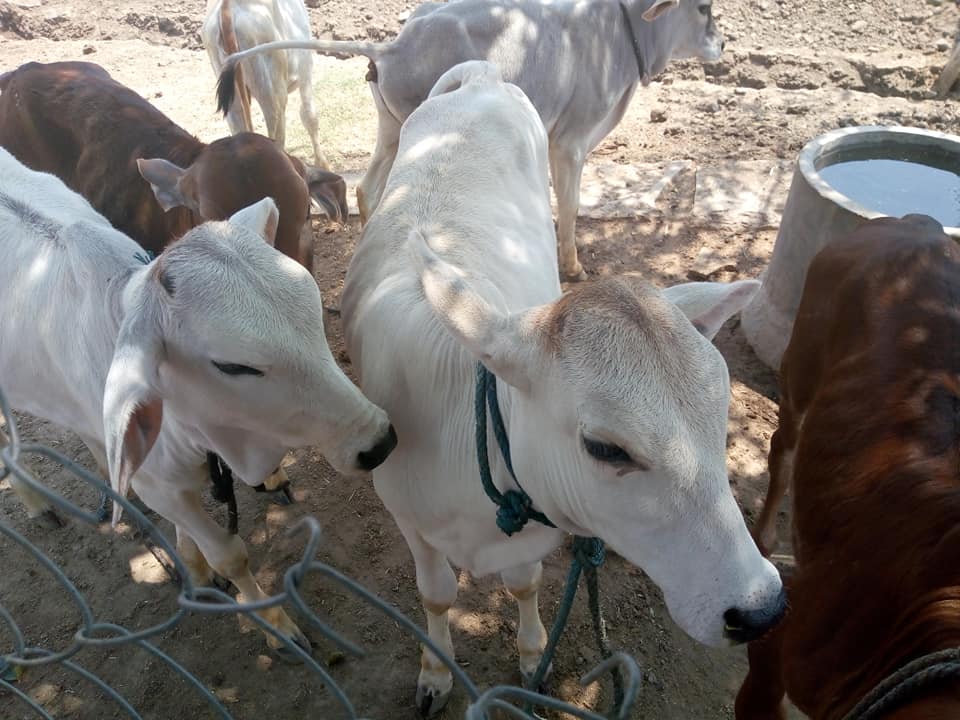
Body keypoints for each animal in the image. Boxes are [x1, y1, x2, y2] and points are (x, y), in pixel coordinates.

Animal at [0, 150, 398, 660]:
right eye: (233, 365)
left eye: (312, 307)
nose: (378, 441)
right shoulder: (161, 486)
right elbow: (230, 554)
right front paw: (275, 625)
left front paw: (192, 563)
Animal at [202, 0, 330, 169]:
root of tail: (227, 7)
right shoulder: (305, 68)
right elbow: (310, 115)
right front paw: (322, 164)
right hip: (272, 90)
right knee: (275, 133)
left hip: (230, 90)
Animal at [342, 62, 784, 716]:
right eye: (605, 448)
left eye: (721, 420)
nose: (760, 608)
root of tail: (480, 75)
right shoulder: (405, 515)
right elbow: (437, 594)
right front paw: (435, 673)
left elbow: (523, 584)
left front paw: (532, 659)